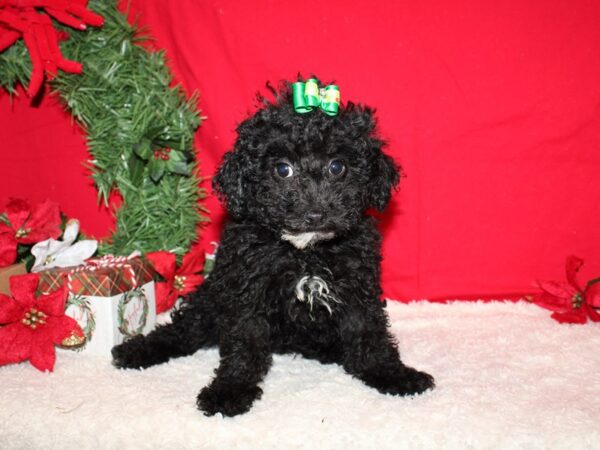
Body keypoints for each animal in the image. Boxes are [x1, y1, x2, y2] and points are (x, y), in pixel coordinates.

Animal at [111, 76, 432, 414]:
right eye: (282, 169)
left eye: (337, 166)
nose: (315, 212)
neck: (306, 251)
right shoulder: (246, 291)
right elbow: (245, 342)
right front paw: (231, 389)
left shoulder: (359, 286)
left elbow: (369, 334)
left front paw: (392, 374)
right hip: (211, 297)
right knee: (183, 331)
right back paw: (137, 350)